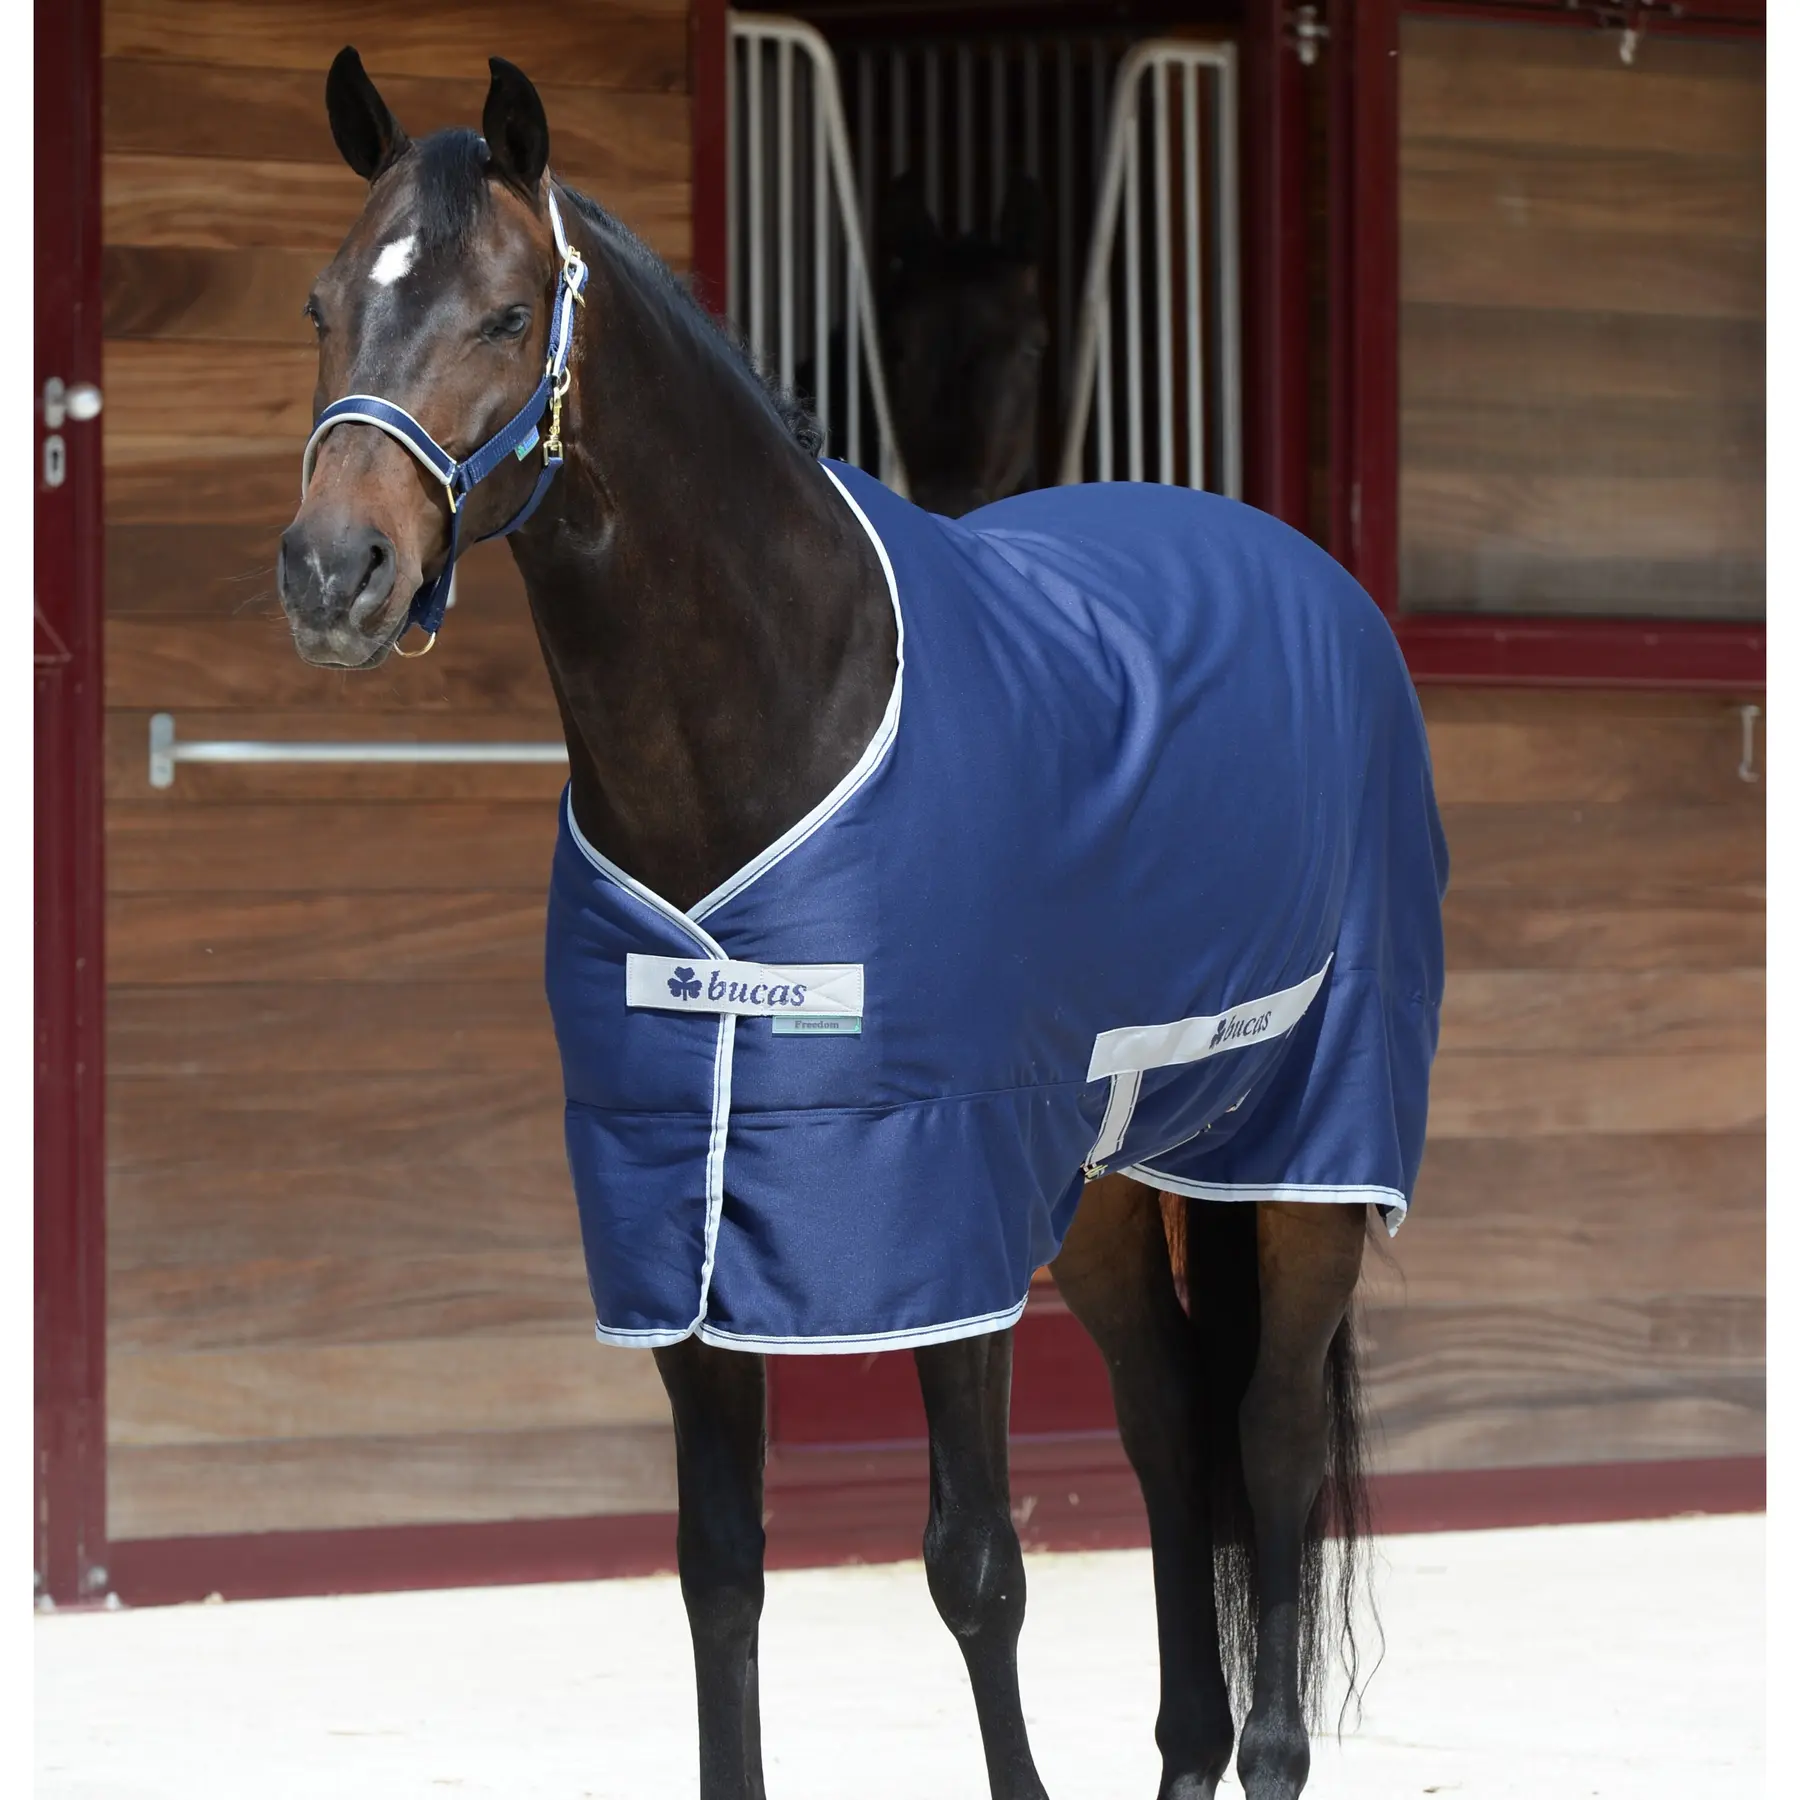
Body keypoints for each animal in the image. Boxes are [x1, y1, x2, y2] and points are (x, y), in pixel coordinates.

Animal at [278, 49, 1448, 1800]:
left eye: (503, 313)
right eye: (324, 303)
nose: (333, 570)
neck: (777, 719)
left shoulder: (935, 1207)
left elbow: (976, 1565)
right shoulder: (676, 1220)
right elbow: (719, 1572)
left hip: (1307, 1152)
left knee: (1272, 1436)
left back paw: (1270, 1751)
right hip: (1103, 1182)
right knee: (1171, 1423)